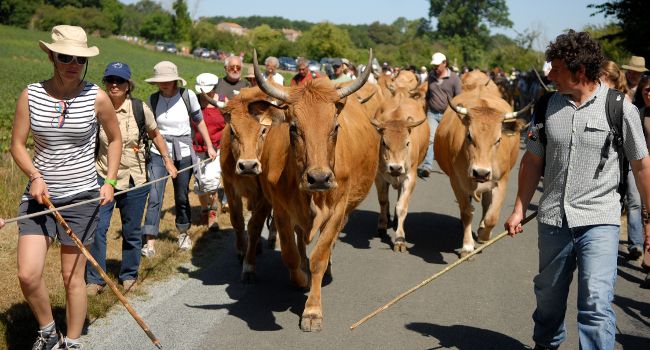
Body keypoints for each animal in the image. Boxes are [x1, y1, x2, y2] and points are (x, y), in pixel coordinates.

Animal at [432, 71, 528, 258]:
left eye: (498, 139)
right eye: (469, 136)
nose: (481, 173)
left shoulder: (502, 180)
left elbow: (492, 216)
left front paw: (484, 234)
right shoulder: (456, 181)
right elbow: (466, 211)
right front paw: (467, 246)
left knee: (486, 203)